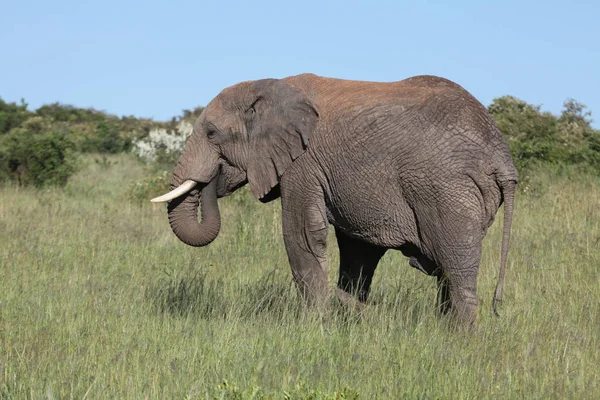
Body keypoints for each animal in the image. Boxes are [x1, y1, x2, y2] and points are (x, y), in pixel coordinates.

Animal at [152, 72, 516, 328]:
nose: (212, 178)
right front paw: (346, 315)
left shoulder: (303, 164)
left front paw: (312, 327)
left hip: (447, 191)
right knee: (445, 271)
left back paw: (459, 340)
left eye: (212, 133)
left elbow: (301, 234)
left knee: (456, 268)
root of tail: (502, 156)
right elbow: (358, 249)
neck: (269, 86)